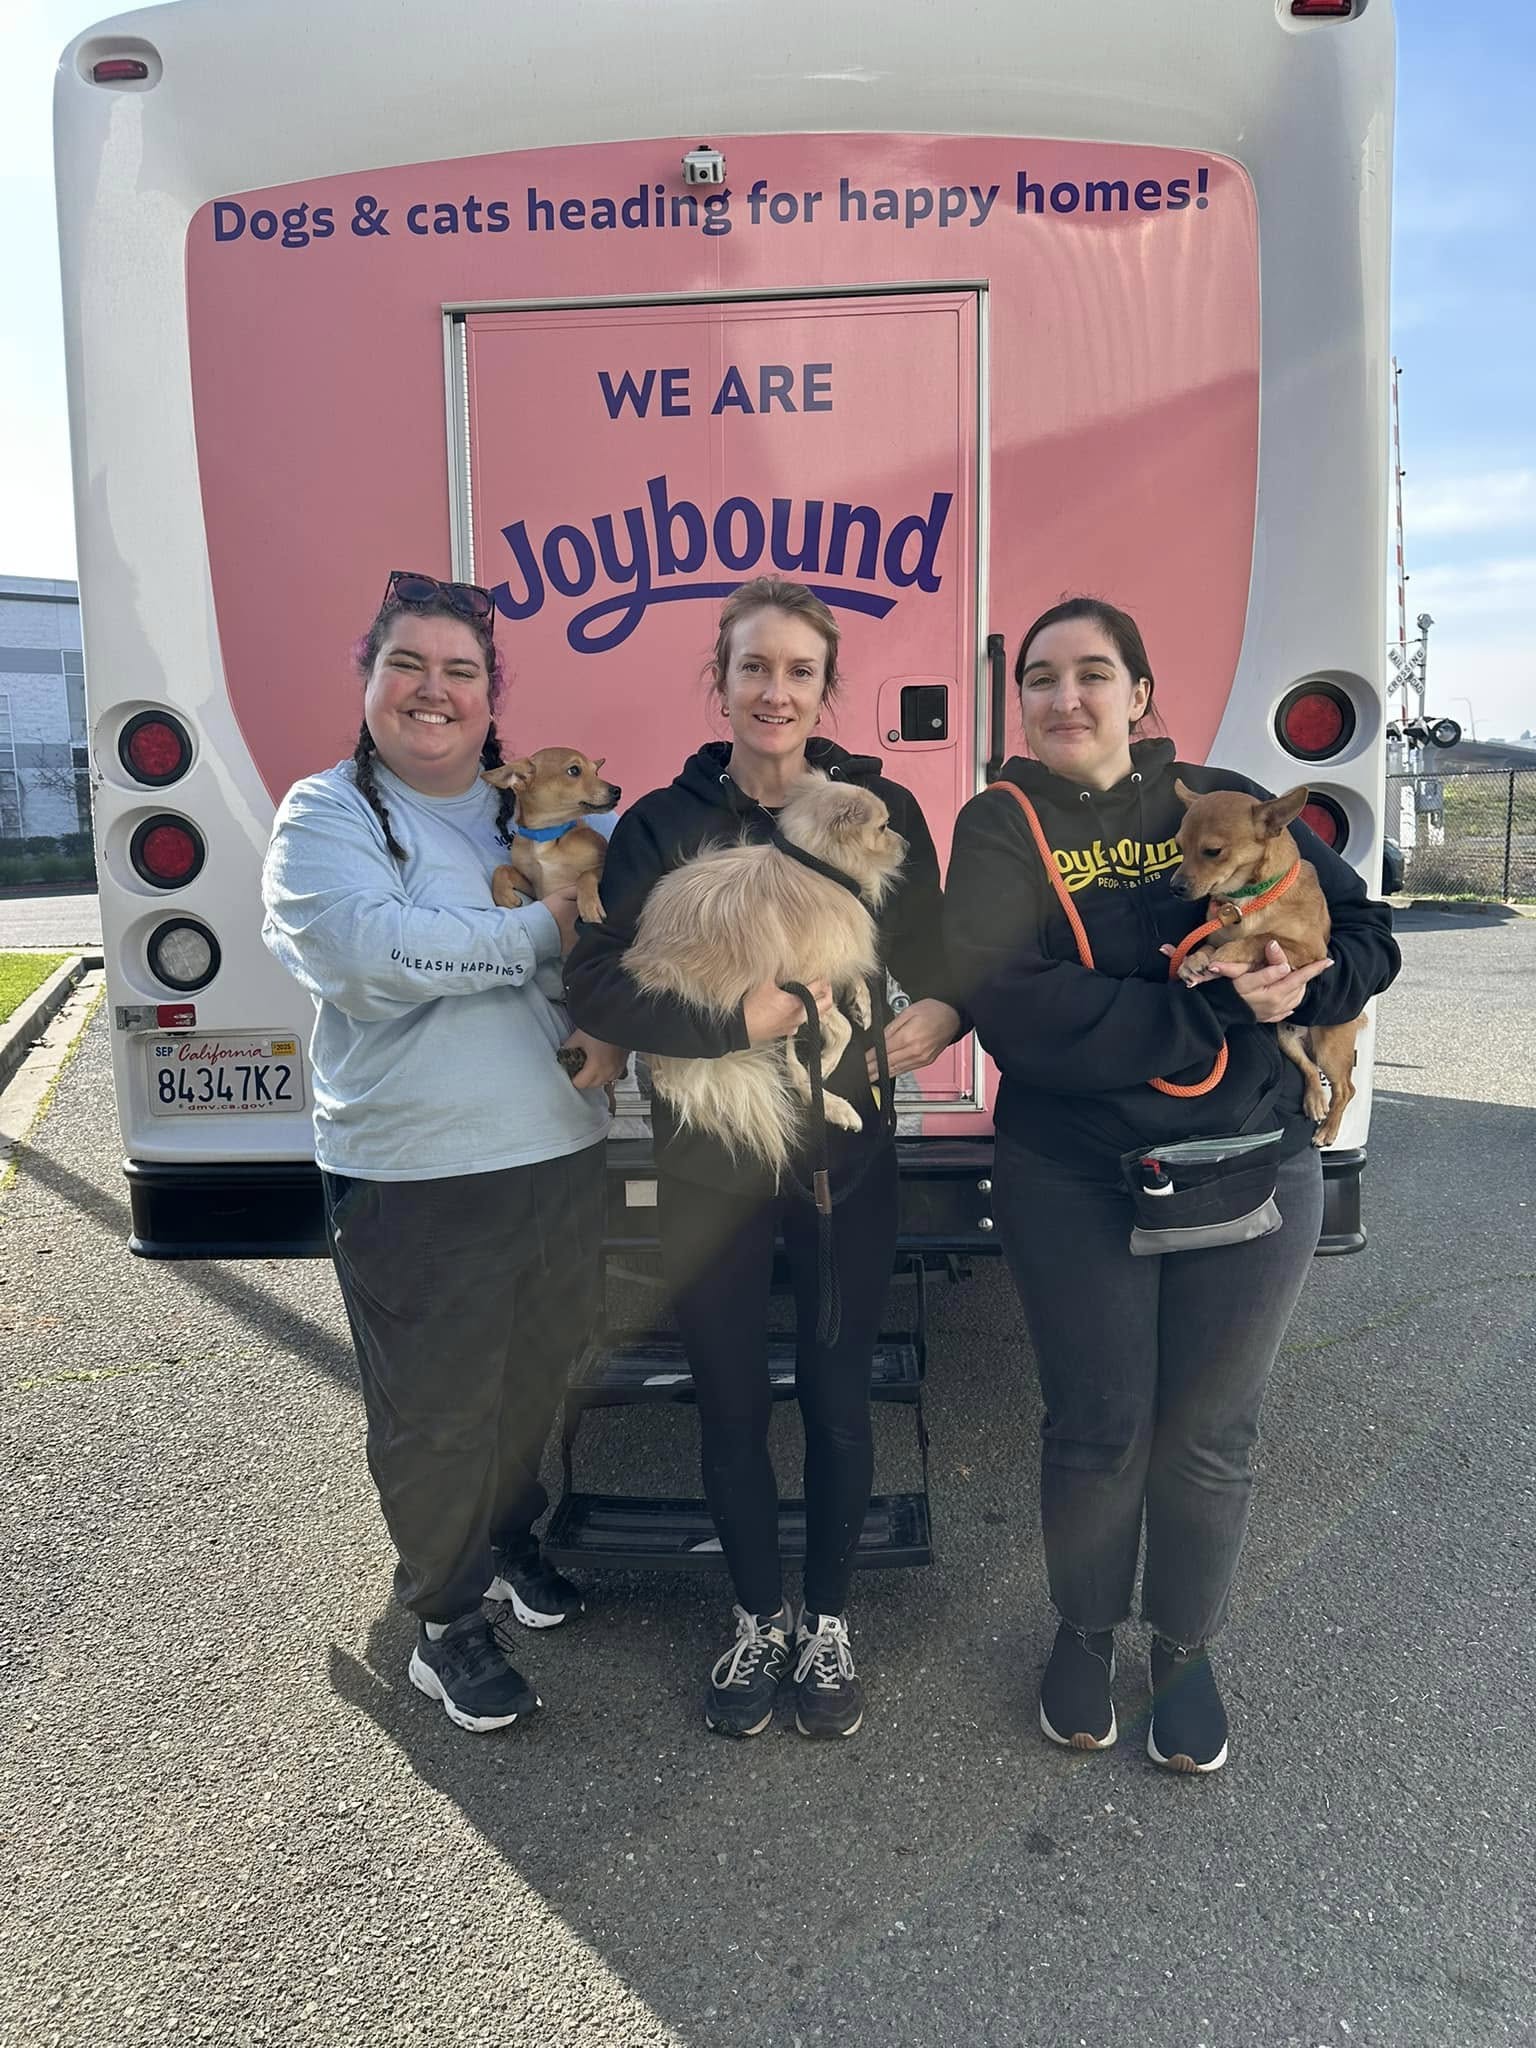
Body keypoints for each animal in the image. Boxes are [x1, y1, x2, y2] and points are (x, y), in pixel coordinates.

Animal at [626, 774, 909, 1179]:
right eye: (884, 827)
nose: (907, 844)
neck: (820, 867)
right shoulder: (807, 984)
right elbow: (841, 1030)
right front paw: (828, 1061)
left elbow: (853, 978)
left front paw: (864, 1004)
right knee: (795, 1069)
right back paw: (835, 1104)